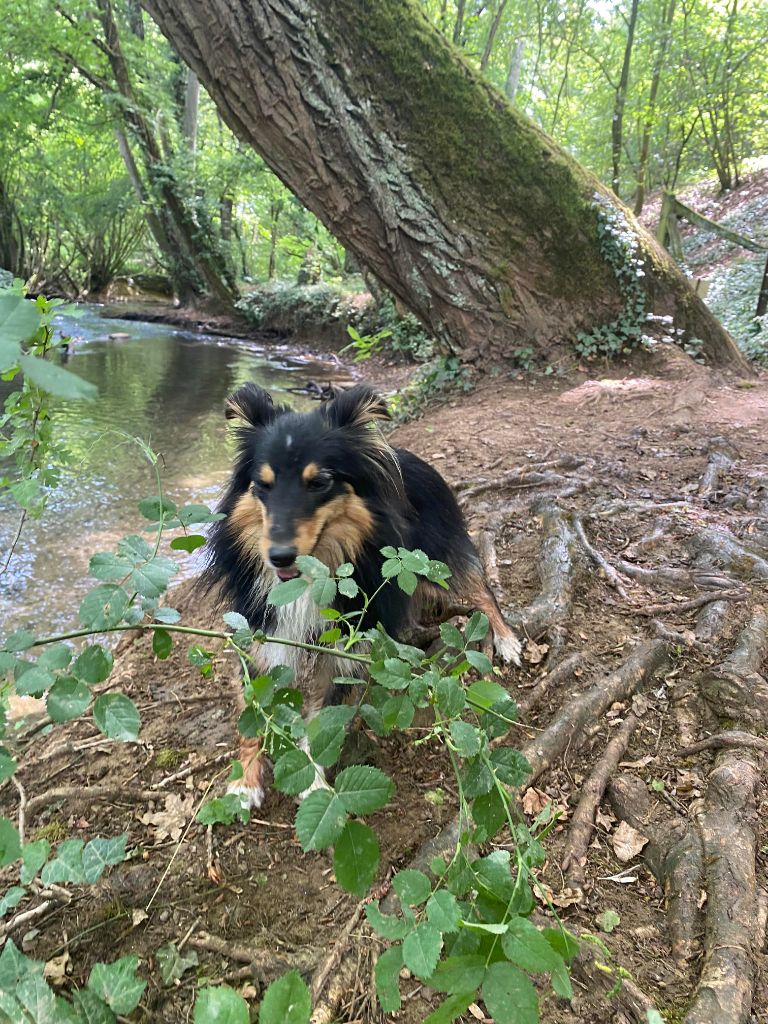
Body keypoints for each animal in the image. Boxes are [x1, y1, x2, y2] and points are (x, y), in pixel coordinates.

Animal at [204, 378, 524, 806]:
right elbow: (253, 711)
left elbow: (322, 719)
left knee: (483, 592)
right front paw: (245, 782)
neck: (312, 578)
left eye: (319, 483)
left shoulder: (343, 647)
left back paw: (505, 639)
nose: (278, 557)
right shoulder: (262, 635)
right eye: (262, 485)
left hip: (440, 560)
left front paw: (313, 782)